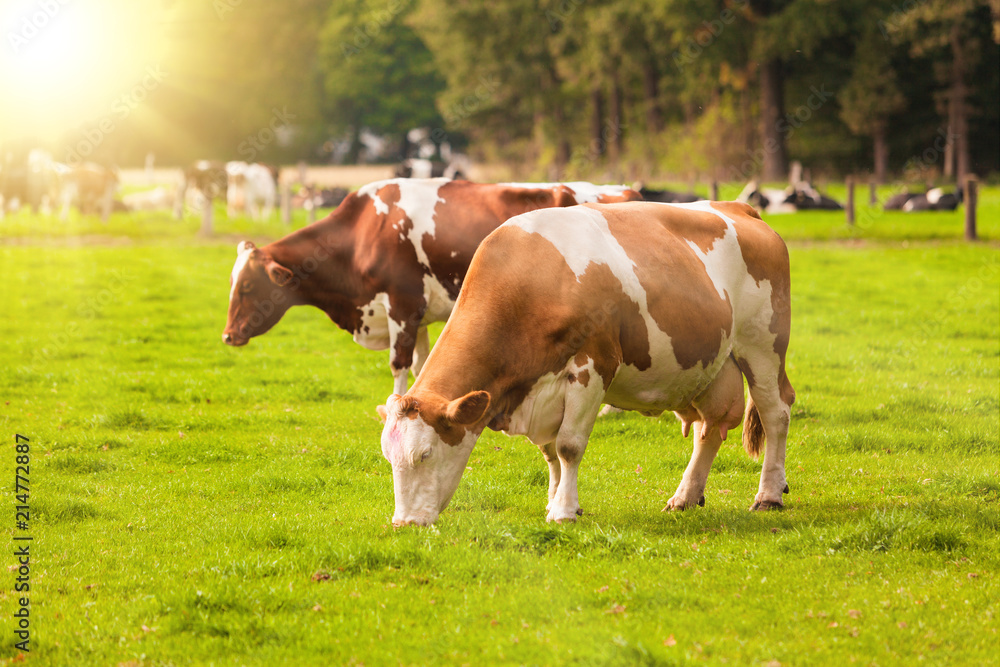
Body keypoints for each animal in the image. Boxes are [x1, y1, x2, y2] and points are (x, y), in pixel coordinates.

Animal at [224, 180, 640, 394]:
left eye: (247, 286)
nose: (228, 336)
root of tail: (626, 191)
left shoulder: (402, 304)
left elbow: (398, 363)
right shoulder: (418, 315)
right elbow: (420, 363)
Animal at [376, 200, 796, 528]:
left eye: (425, 454)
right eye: (389, 457)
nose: (403, 523)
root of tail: (737, 208)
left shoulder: (591, 367)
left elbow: (568, 446)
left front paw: (563, 510)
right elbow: (549, 452)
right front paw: (556, 501)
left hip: (763, 346)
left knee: (776, 412)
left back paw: (769, 494)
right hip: (712, 366)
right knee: (708, 431)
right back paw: (685, 496)